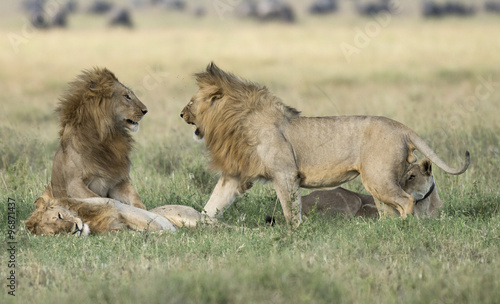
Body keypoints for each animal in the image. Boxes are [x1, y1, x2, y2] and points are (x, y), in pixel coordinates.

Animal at [43, 67, 147, 209]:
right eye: (127, 96)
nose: (145, 110)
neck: (107, 138)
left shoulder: (115, 183)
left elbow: (134, 195)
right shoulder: (74, 184)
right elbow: (98, 198)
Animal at [300, 158, 442, 220]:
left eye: (412, 176)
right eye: (400, 176)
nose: (397, 189)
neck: (425, 203)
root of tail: (303, 197)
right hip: (353, 200)